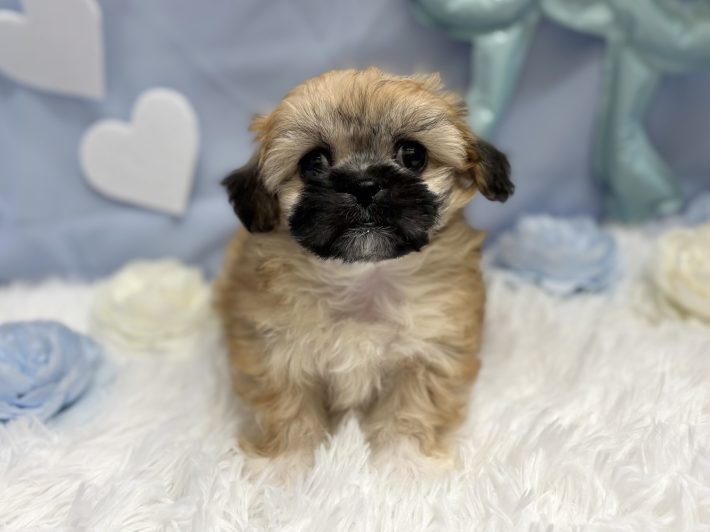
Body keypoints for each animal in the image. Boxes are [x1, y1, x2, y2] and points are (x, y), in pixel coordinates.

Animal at [215, 68, 513, 464]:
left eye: (413, 155)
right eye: (312, 163)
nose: (364, 184)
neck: (363, 278)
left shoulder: (428, 353)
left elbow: (410, 412)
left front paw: (403, 464)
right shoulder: (277, 355)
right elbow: (290, 415)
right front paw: (286, 465)